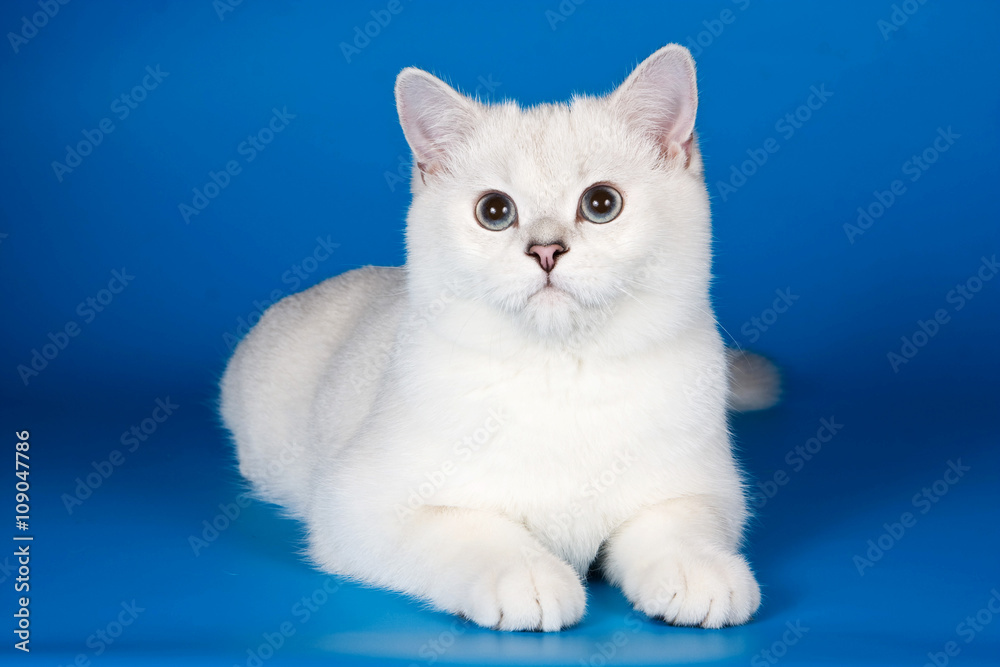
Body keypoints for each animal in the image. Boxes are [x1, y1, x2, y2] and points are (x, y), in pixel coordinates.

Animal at [221, 43, 780, 632]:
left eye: (601, 204)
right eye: (494, 211)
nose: (546, 250)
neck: (561, 376)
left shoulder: (698, 490)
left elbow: (675, 525)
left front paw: (698, 571)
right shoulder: (358, 506)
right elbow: (473, 532)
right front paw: (528, 579)